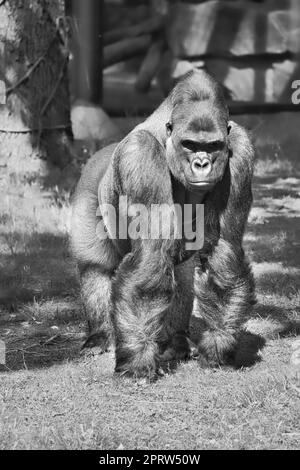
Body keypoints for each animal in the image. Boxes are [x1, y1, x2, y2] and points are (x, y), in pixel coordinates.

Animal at [70, 70, 255, 378]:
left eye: (213, 146)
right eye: (190, 145)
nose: (202, 164)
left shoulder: (240, 150)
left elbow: (224, 248)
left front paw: (218, 344)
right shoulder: (140, 154)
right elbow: (150, 256)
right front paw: (136, 360)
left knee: (180, 275)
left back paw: (175, 342)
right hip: (86, 192)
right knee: (96, 266)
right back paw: (99, 335)